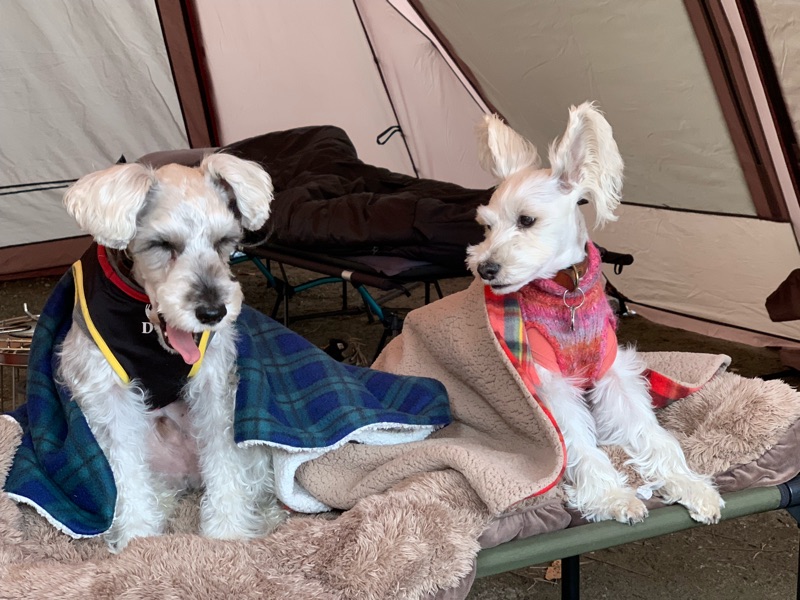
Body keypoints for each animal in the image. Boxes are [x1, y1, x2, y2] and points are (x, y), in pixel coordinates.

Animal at [61, 153, 286, 551]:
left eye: (224, 241)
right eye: (162, 244)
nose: (213, 312)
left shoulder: (215, 386)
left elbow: (225, 461)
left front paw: (227, 532)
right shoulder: (108, 397)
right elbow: (126, 477)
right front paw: (137, 537)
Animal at [467, 103, 724, 525]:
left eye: (526, 220)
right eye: (486, 227)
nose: (484, 268)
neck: (567, 293)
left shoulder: (613, 373)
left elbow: (656, 437)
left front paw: (692, 486)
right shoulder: (551, 386)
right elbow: (580, 447)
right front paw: (613, 498)